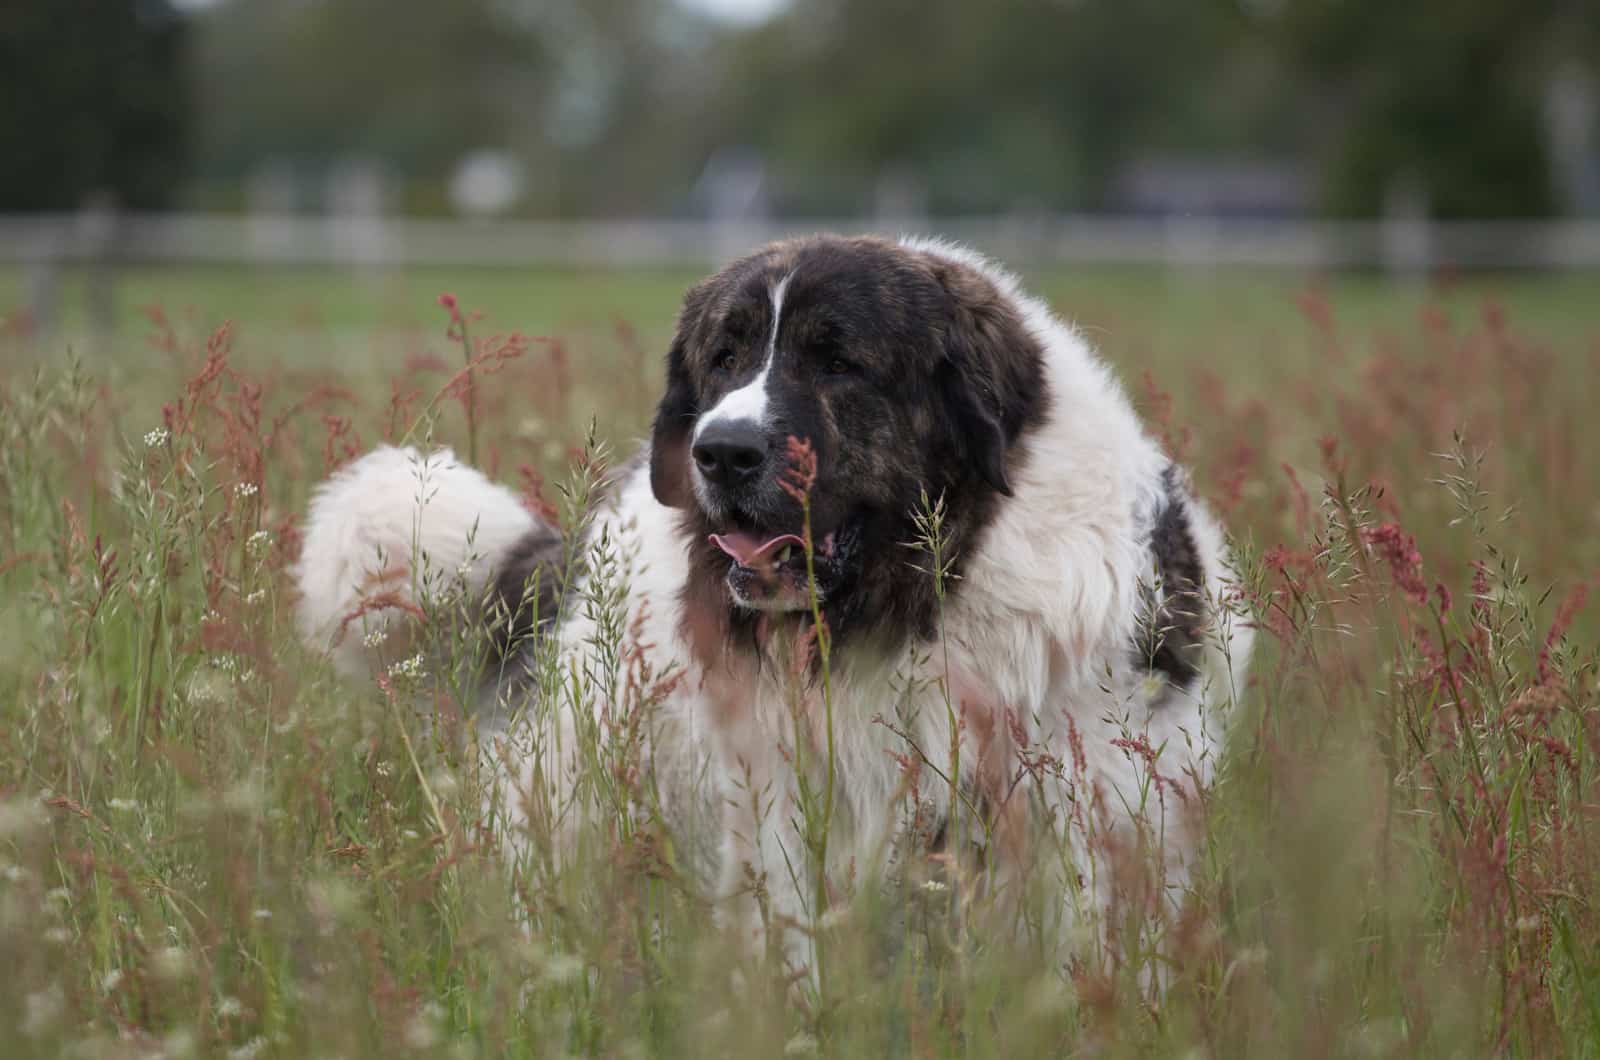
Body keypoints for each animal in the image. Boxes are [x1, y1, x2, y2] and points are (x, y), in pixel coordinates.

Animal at [297, 235, 1248, 979]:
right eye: (724, 358)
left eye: (839, 362)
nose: (721, 451)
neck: (917, 605)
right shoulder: (784, 813)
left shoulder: (1093, 806)